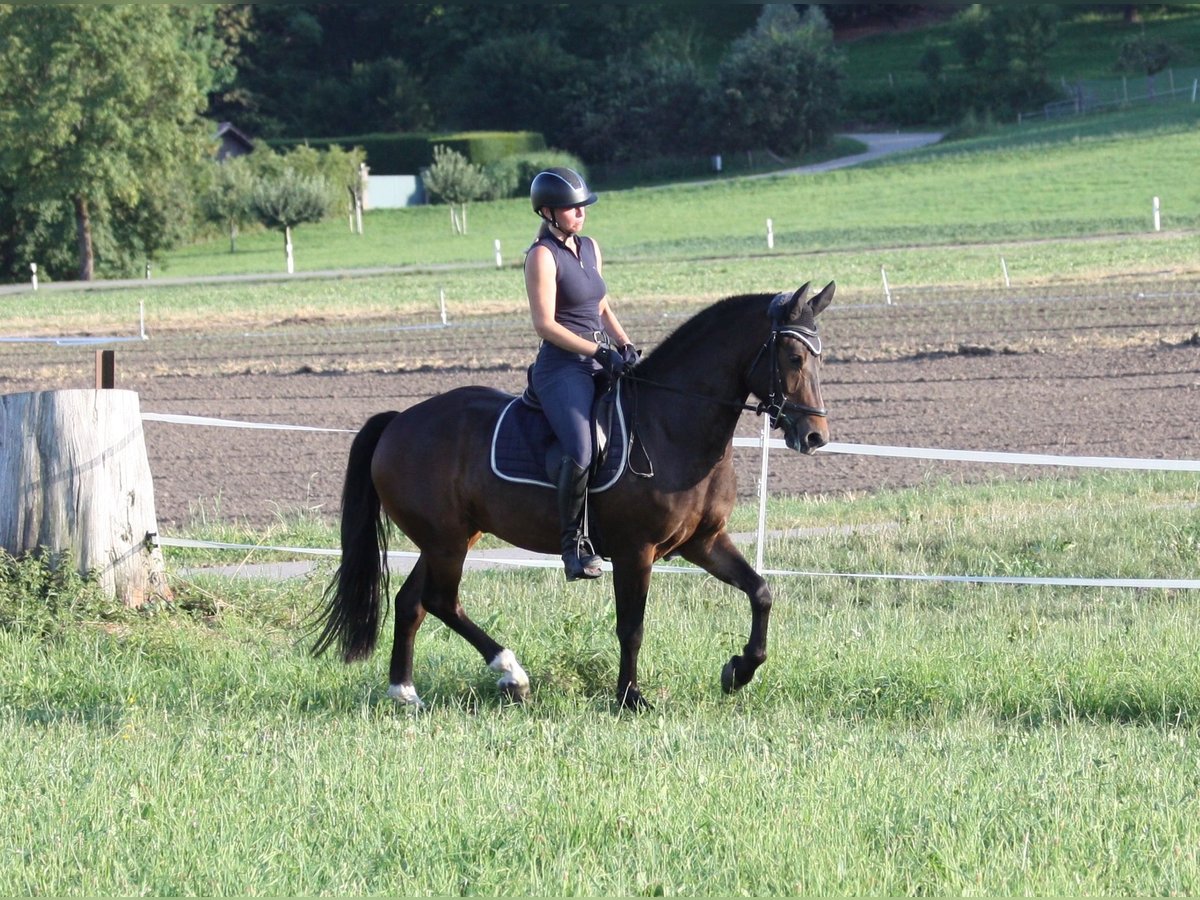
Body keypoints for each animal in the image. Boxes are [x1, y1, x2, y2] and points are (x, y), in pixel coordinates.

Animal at [309, 282, 835, 710]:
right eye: (793, 358)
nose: (815, 437)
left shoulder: (702, 542)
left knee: (412, 602)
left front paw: (739, 671)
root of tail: (398, 421)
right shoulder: (635, 550)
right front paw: (630, 698)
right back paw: (511, 674)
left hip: (450, 538)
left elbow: (761, 592)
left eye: (820, 358)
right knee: (440, 600)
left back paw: (405, 692)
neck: (671, 422)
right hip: (447, 541)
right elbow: (632, 626)